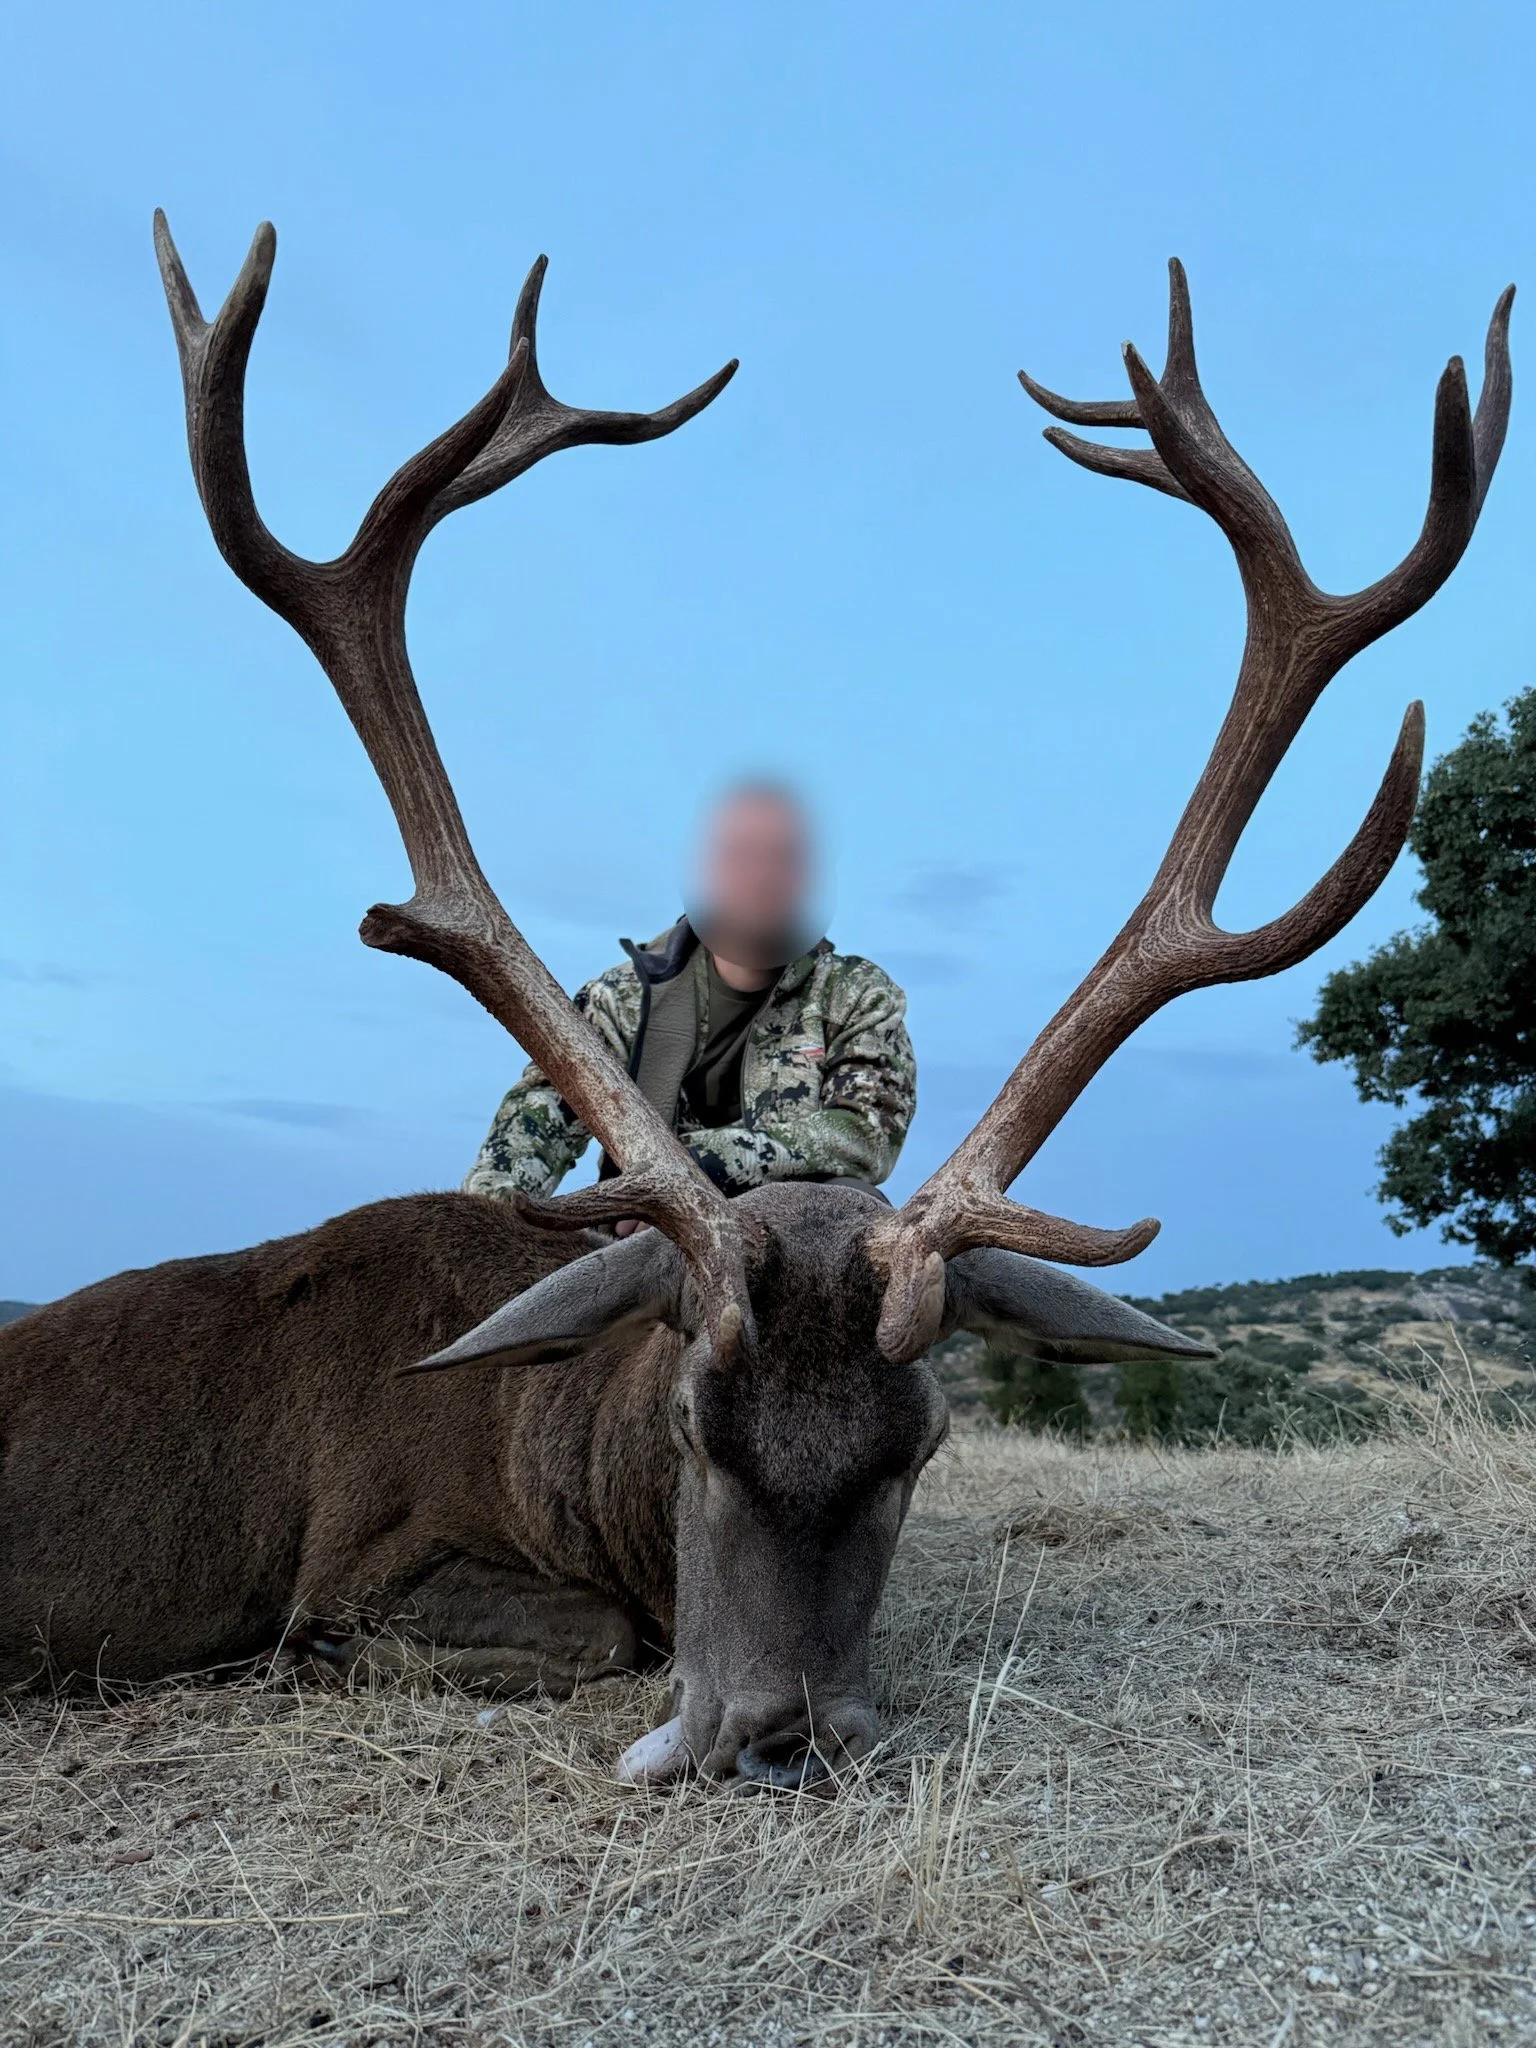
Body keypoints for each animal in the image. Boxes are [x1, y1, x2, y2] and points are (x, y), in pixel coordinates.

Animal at [0, 219, 1512, 1795]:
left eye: (923, 1444)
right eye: (688, 1425)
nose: (784, 1735)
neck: (562, 1436)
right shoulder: (355, 1568)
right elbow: (585, 1630)